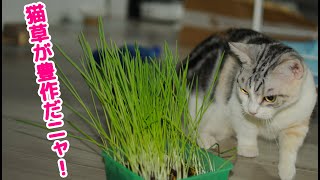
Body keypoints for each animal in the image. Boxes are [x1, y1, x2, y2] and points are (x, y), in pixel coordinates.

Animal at [178, 28, 318, 180]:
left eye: (270, 98)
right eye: (244, 90)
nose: (252, 111)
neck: (276, 114)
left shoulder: (299, 122)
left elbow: (290, 146)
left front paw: (287, 170)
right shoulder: (237, 107)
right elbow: (246, 128)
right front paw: (248, 149)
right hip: (198, 104)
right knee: (191, 126)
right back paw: (206, 139)